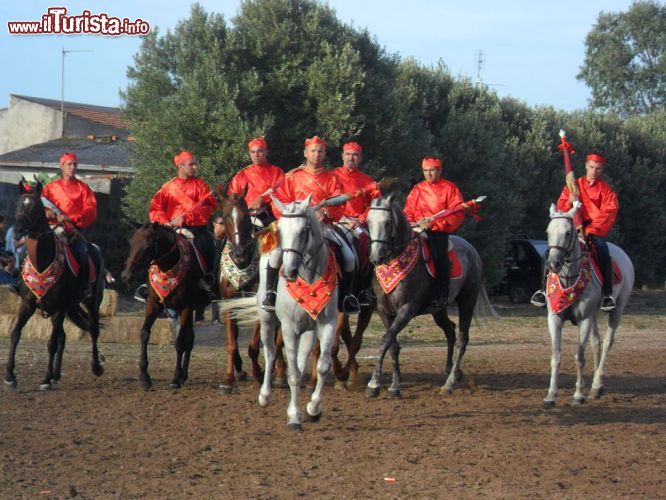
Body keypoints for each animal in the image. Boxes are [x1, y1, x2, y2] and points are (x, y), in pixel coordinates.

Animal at [4, 181, 104, 390]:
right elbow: (15, 334)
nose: (17, 231)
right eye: (19, 205)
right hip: (69, 307)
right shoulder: (27, 304)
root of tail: (96, 250)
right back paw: (57, 375)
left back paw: (95, 367)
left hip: (91, 303)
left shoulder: (58, 309)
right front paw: (10, 376)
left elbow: (50, 343)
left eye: (35, 207)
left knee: (93, 330)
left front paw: (45, 379)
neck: (43, 262)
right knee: (63, 338)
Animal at [121, 224, 210, 390]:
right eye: (131, 242)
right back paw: (184, 375)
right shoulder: (153, 304)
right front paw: (144, 376)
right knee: (191, 339)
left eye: (148, 245)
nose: (126, 276)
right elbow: (144, 333)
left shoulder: (186, 307)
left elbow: (179, 343)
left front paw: (175, 378)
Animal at [215, 193, 282, 392]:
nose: (240, 252)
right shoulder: (228, 303)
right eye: (225, 217)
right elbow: (231, 343)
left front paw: (258, 375)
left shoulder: (259, 305)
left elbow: (254, 346)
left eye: (245, 216)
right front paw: (229, 379)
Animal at [540, 202, 632, 406]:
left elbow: (579, 357)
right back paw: (596, 389)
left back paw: (597, 384)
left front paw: (578, 395)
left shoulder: (585, 319)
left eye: (568, 233)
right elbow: (555, 356)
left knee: (607, 343)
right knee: (596, 343)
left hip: (617, 310)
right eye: (548, 232)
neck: (569, 278)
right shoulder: (554, 318)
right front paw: (551, 395)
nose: (553, 263)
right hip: (595, 316)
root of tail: (622, 253)